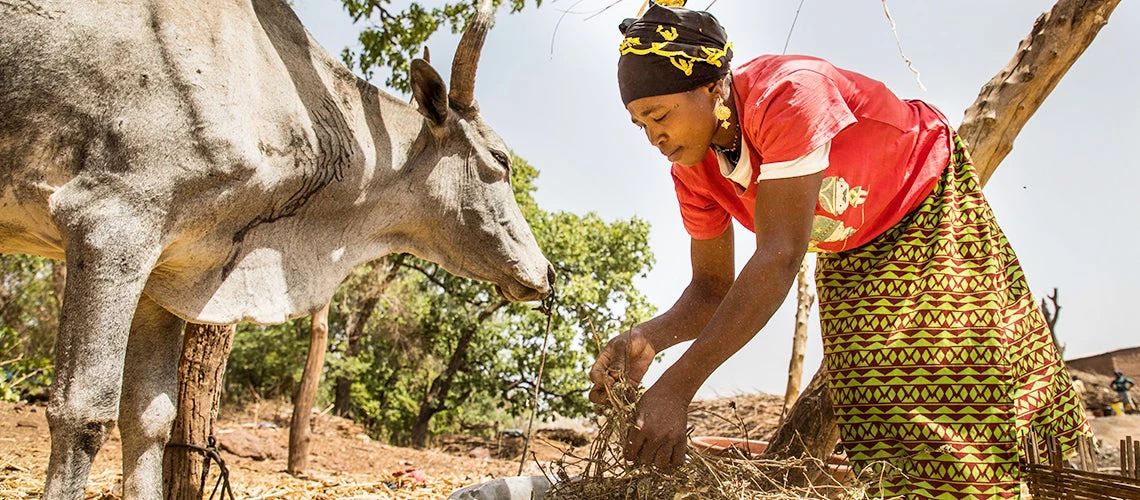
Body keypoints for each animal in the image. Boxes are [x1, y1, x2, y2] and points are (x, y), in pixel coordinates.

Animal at [0, 0, 551, 494]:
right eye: (501, 159)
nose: (546, 272)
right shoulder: (110, 225)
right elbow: (82, 413)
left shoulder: (167, 274)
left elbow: (149, 417)